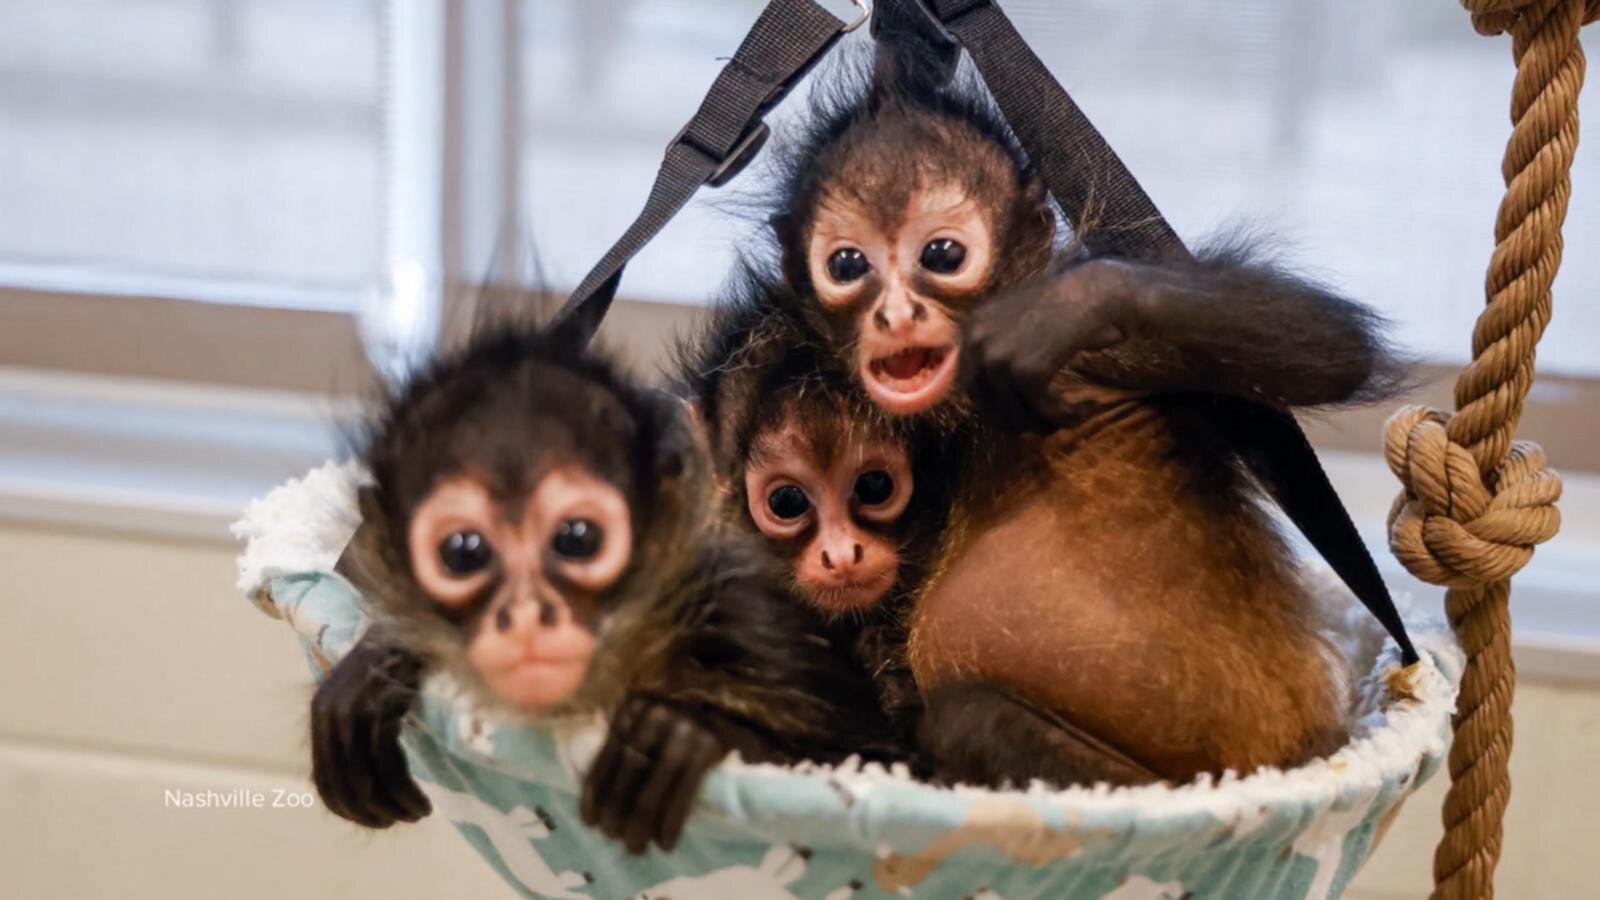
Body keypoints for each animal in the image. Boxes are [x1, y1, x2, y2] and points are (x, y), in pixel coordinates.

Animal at [309, 316, 905, 853]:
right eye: (462, 553)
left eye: (579, 538)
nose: (527, 618)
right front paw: (372, 668)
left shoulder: (742, 624)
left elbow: (880, 757)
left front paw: (688, 733)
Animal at [749, 46, 1406, 789]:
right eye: (847, 264)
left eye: (942, 255)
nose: (895, 316)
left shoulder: (1094, 362)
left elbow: (1335, 354)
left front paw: (1068, 303)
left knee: (965, 716)